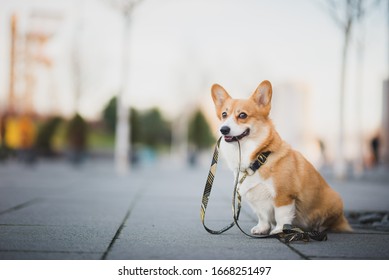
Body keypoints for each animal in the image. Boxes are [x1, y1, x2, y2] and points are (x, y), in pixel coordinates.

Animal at [211, 80, 350, 234]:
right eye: (224, 114)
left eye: (242, 115)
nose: (223, 129)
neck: (258, 159)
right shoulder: (256, 200)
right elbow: (262, 216)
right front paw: (262, 229)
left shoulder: (283, 196)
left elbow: (281, 215)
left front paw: (279, 230)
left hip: (334, 200)